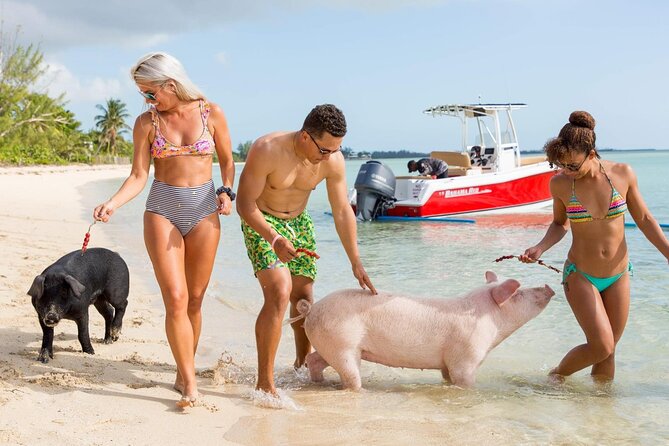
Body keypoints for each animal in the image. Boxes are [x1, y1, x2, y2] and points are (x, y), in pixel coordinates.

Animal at [297, 271, 554, 390]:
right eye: (518, 293)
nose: (548, 286)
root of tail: (311, 309)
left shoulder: (448, 362)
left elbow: (447, 376)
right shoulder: (466, 357)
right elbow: (464, 380)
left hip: (330, 343)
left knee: (315, 359)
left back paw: (319, 382)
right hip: (342, 342)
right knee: (350, 376)